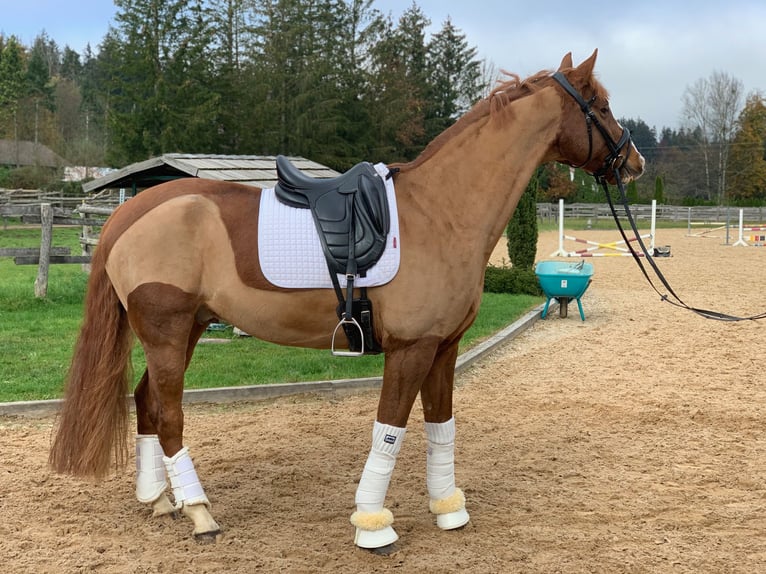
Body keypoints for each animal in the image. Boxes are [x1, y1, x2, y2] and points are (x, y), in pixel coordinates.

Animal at [49, 51, 648, 552]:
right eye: (599, 105)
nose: (634, 162)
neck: (441, 210)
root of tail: (131, 212)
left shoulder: (444, 347)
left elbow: (441, 427)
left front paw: (448, 509)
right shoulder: (410, 349)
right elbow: (390, 431)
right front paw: (373, 524)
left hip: (187, 329)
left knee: (146, 403)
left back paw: (159, 501)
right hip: (168, 333)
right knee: (169, 414)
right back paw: (199, 513)